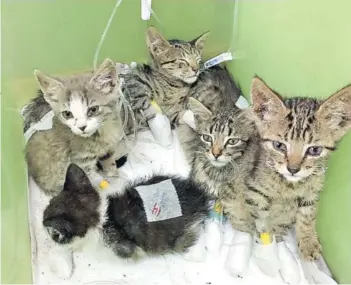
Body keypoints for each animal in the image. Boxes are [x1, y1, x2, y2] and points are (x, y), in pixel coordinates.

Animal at [42, 163, 210, 260]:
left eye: (54, 234)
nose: (43, 221)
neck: (100, 215)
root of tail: (200, 197)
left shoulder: (120, 246)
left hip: (182, 238)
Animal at [248, 76, 351, 260]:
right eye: (279, 145)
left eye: (314, 150)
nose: (293, 169)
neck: (290, 185)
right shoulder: (256, 189)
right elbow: (260, 215)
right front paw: (264, 237)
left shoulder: (313, 189)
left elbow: (308, 213)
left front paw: (308, 240)